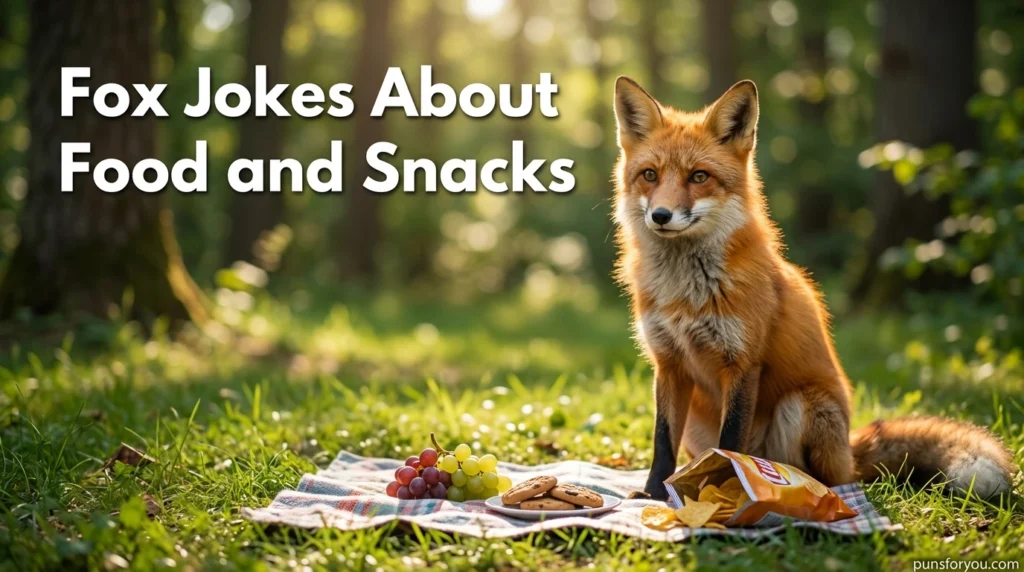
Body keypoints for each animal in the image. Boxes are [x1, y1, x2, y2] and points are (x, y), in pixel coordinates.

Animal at [611, 76, 1018, 500]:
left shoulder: (742, 362)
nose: (661, 215)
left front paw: (724, 489)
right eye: (650, 175)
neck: (685, 293)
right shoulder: (669, 364)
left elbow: (730, 442)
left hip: (802, 406)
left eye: (699, 177)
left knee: (830, 479)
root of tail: (849, 452)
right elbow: (662, 441)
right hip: (698, 419)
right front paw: (654, 493)